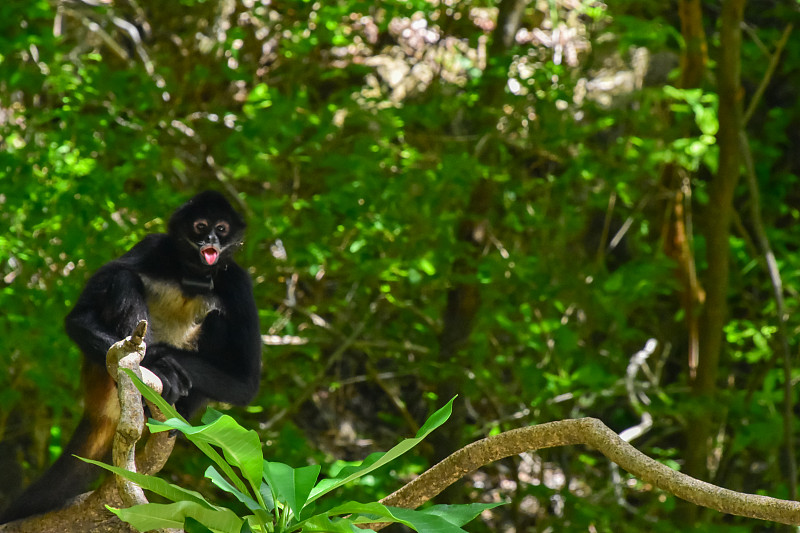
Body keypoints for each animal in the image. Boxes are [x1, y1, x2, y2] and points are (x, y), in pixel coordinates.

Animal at [0, 189, 262, 520]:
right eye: (200, 226)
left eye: (222, 228)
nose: (210, 239)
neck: (192, 276)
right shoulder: (152, 244)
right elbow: (78, 319)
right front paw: (160, 361)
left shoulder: (239, 282)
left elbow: (244, 384)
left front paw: (166, 363)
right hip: (99, 372)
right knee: (124, 278)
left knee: (216, 317)